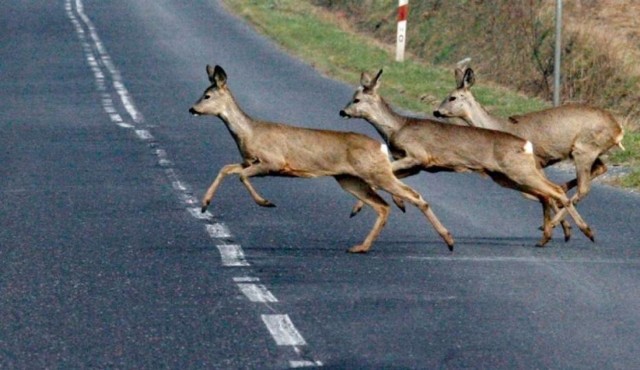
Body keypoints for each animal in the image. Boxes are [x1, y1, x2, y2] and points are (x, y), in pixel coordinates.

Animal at [189, 64, 456, 254]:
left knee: (414, 196)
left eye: (207, 96)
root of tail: (380, 146)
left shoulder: (273, 162)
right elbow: (226, 168)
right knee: (382, 206)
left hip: (375, 173)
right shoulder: (249, 161)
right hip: (350, 179)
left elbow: (242, 176)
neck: (249, 132)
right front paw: (204, 204)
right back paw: (361, 247)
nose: (192, 109)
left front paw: (266, 202)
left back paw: (449, 240)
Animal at [340, 69, 596, 249]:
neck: (397, 127)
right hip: (505, 176)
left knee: (555, 190)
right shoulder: (415, 164)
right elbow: (386, 177)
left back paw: (585, 231)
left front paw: (371, 206)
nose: (343, 112)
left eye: (357, 100)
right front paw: (369, 206)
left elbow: (381, 175)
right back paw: (550, 236)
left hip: (518, 170)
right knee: (546, 193)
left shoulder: (418, 155)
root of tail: (525, 144)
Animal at [432, 67, 624, 212]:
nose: (436, 111)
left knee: (583, 188)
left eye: (452, 97)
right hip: (589, 150)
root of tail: (618, 129)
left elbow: (535, 193)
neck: (500, 127)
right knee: (600, 168)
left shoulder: (536, 160)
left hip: (584, 148)